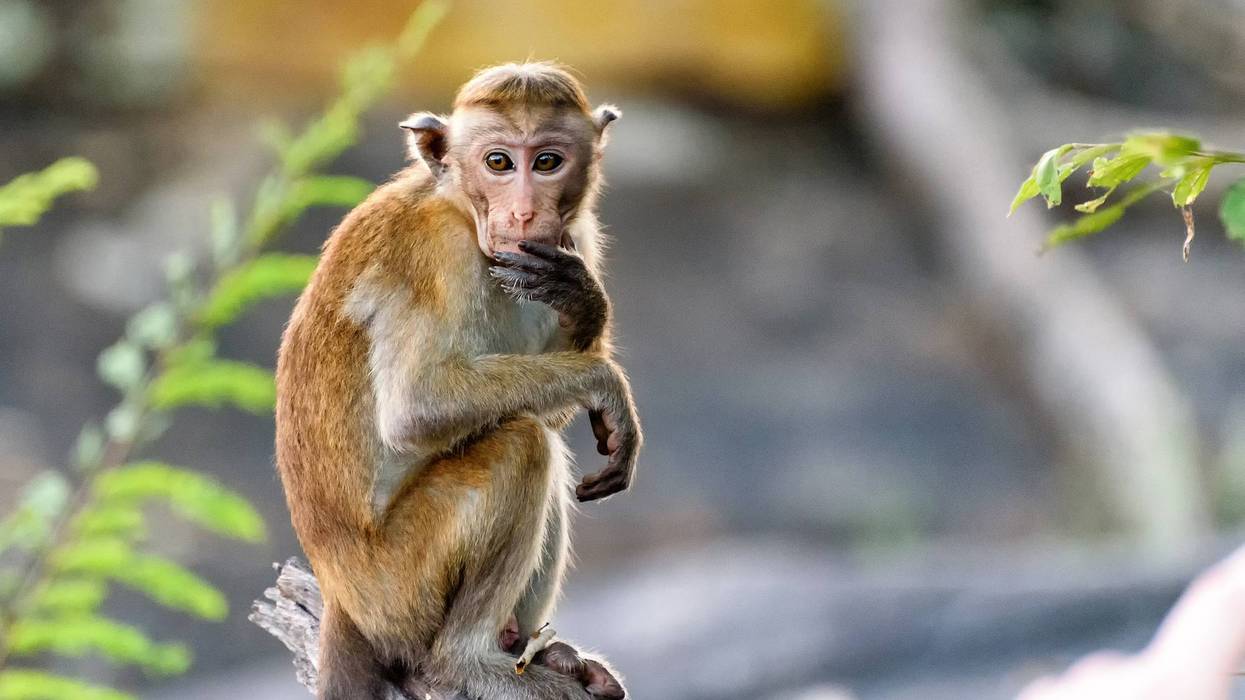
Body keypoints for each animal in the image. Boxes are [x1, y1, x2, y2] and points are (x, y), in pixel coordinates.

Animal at [275, 62, 640, 700]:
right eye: (498, 162)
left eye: (548, 161)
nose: (523, 214)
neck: (461, 208)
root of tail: (341, 597)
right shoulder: (436, 256)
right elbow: (416, 408)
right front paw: (608, 385)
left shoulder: (574, 240)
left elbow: (552, 405)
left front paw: (584, 303)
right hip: (398, 587)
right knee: (522, 445)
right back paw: (467, 664)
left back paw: (536, 648)